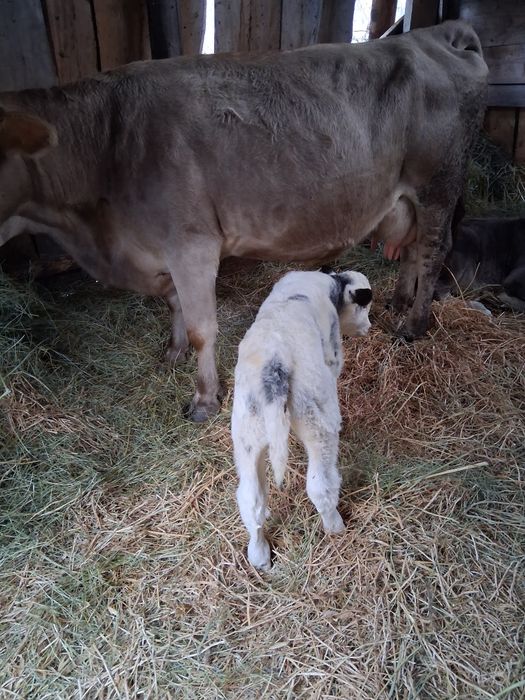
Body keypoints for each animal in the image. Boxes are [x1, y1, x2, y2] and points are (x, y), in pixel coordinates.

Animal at [0, 20, 487, 421]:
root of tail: (433, 35)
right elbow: (175, 305)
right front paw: (172, 353)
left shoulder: (191, 244)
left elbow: (202, 327)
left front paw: (204, 399)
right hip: (411, 197)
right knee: (411, 249)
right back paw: (400, 302)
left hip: (438, 184)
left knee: (432, 251)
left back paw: (413, 327)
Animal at [232, 269, 372, 570]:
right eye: (364, 306)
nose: (367, 327)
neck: (332, 285)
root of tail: (274, 366)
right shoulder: (332, 354)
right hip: (316, 419)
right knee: (320, 486)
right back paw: (336, 527)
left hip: (247, 430)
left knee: (251, 498)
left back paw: (259, 555)